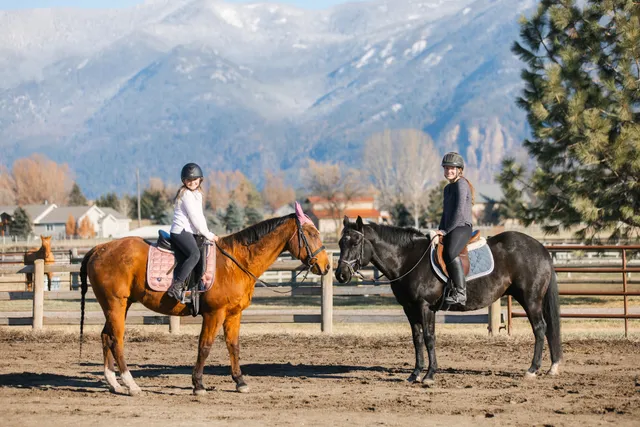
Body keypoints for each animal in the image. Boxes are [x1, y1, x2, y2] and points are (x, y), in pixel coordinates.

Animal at [79, 209, 330, 396]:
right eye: (310, 233)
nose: (326, 266)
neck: (235, 262)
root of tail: (99, 248)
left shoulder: (233, 314)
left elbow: (233, 345)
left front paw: (240, 381)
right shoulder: (214, 313)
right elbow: (205, 346)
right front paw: (198, 384)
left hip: (117, 306)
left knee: (106, 336)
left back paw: (114, 383)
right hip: (116, 304)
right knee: (116, 340)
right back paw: (131, 385)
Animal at [335, 216, 562, 385]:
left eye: (355, 242)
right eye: (340, 243)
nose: (341, 275)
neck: (408, 258)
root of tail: (540, 248)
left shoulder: (425, 307)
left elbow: (429, 338)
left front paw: (429, 375)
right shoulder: (410, 308)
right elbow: (417, 339)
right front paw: (415, 374)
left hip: (530, 299)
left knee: (540, 328)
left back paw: (532, 369)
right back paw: (552, 366)